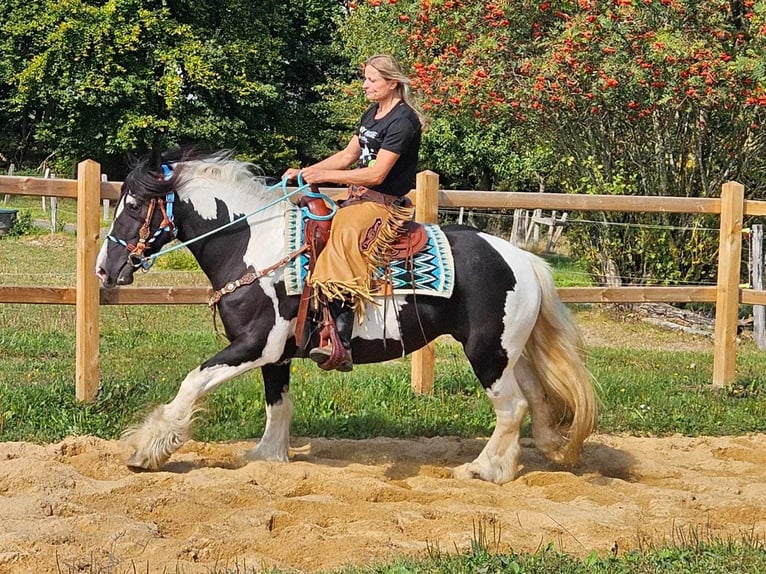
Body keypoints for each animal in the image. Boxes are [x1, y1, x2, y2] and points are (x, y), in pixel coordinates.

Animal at [97, 152, 600, 486]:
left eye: (134, 206)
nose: (104, 269)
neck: (255, 245)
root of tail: (523, 259)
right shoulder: (277, 355)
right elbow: (277, 405)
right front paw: (267, 456)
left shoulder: (255, 344)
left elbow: (192, 382)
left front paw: (145, 451)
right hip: (510, 352)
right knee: (534, 399)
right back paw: (527, 459)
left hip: (486, 353)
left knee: (511, 407)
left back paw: (484, 469)